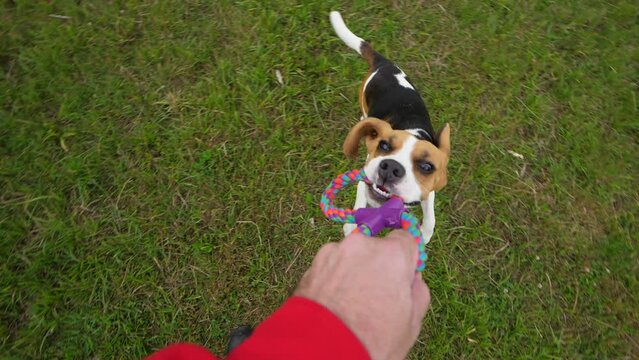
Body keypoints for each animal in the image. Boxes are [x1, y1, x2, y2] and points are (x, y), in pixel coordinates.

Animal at [330, 11, 450, 243]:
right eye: (384, 146)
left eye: (426, 167)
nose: (391, 168)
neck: (411, 130)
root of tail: (383, 63)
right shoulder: (365, 176)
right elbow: (359, 201)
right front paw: (351, 226)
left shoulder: (428, 191)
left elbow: (430, 216)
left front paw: (424, 233)